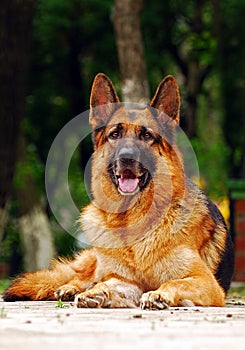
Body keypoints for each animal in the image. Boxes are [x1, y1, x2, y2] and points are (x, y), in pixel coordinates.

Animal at [2, 74, 234, 308]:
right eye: (115, 134)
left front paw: (158, 294)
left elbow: (174, 282)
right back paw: (70, 288)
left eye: (147, 135)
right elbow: (110, 284)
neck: (131, 219)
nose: (127, 157)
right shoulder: (124, 280)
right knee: (82, 277)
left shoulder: (207, 283)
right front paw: (95, 292)